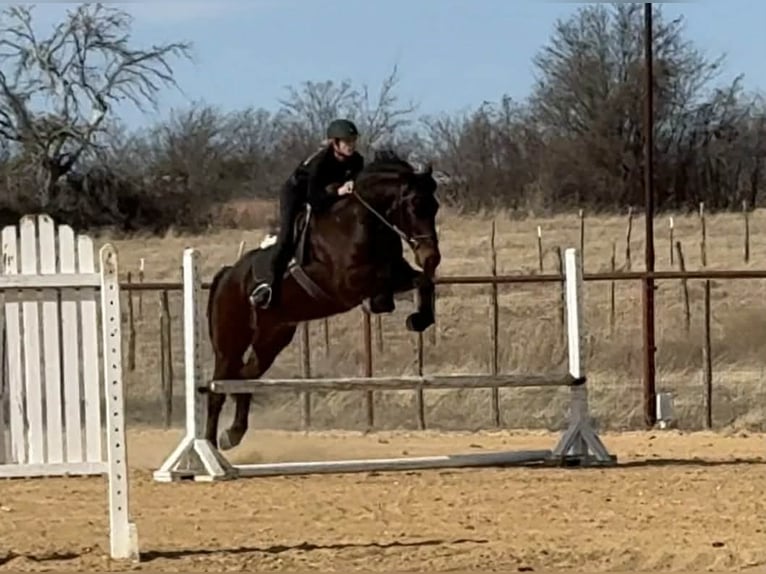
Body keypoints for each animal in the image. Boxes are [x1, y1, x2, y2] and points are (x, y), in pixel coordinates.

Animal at [204, 150, 442, 450]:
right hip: (230, 342)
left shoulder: (399, 273)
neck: (363, 222)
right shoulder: (346, 283)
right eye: (414, 205)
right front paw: (382, 303)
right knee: (218, 390)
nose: (432, 257)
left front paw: (418, 319)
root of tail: (226, 275)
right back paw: (209, 445)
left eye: (435, 206)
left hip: (272, 338)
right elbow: (382, 280)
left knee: (246, 378)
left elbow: (422, 281)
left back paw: (233, 433)